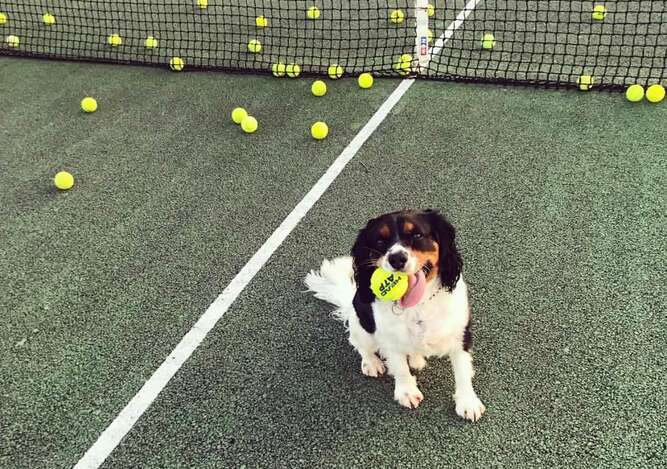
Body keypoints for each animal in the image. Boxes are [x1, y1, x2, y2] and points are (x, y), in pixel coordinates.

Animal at [305, 209, 485, 420]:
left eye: (417, 235)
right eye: (380, 241)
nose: (397, 258)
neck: (418, 305)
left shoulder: (461, 335)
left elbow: (463, 371)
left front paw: (467, 402)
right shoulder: (390, 339)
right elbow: (400, 368)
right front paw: (407, 392)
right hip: (362, 326)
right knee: (359, 344)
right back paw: (372, 363)